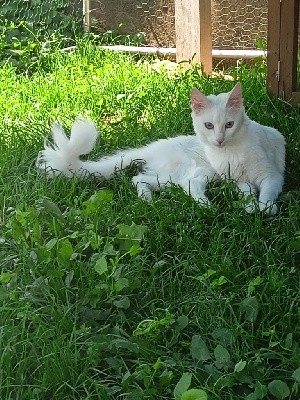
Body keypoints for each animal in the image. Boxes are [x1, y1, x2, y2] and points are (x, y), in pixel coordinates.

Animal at [36, 83, 284, 214]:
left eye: (229, 125)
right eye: (209, 126)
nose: (220, 139)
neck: (229, 153)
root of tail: (153, 147)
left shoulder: (271, 175)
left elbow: (264, 193)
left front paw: (261, 208)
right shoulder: (239, 180)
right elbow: (251, 194)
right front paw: (256, 208)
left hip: (169, 177)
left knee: (139, 179)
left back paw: (148, 201)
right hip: (197, 171)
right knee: (189, 185)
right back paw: (207, 207)